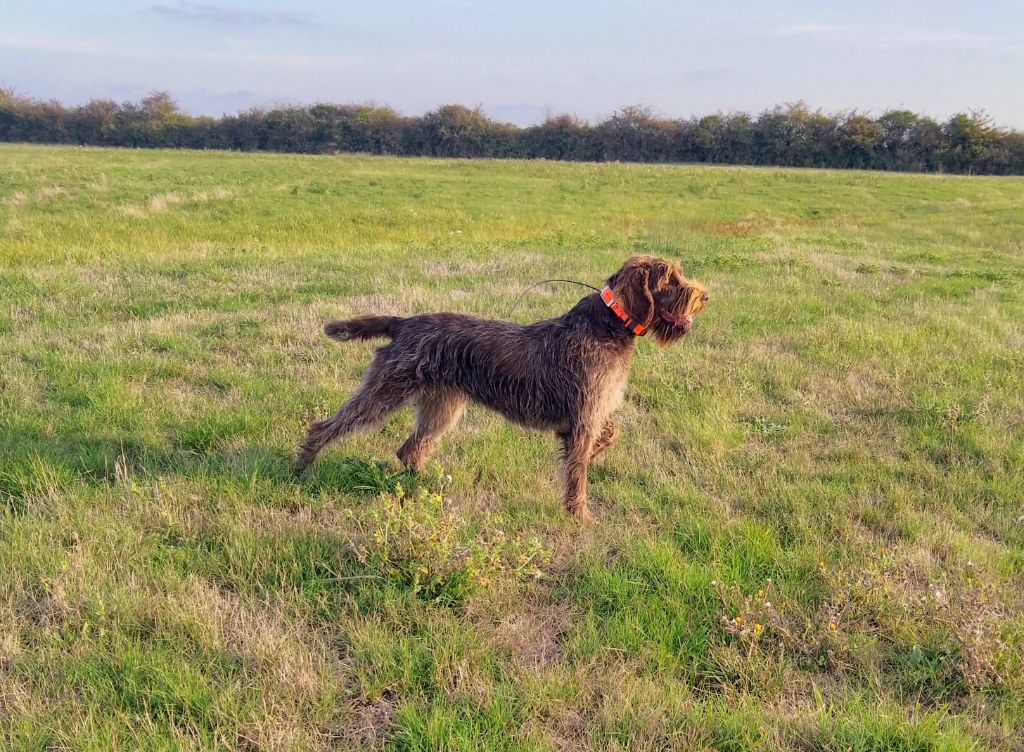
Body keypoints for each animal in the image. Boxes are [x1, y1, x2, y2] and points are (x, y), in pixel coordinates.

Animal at [299, 256, 708, 520]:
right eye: (670, 279)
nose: (705, 297)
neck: (611, 324)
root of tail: (404, 323)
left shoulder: (589, 415)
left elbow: (608, 434)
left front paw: (590, 457)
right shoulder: (584, 416)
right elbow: (578, 474)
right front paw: (580, 517)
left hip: (442, 407)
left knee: (409, 450)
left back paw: (426, 486)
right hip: (385, 392)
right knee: (327, 426)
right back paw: (304, 466)